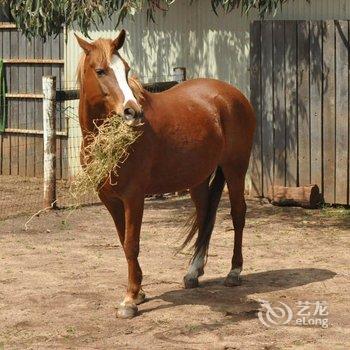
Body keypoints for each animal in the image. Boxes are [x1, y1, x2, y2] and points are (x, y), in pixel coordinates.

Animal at [75, 30, 256, 320]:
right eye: (100, 70)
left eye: (126, 69)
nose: (132, 112)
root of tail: (232, 94)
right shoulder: (109, 199)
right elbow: (123, 241)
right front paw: (138, 292)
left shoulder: (134, 197)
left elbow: (131, 244)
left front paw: (130, 300)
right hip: (198, 178)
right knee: (205, 216)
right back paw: (193, 272)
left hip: (235, 168)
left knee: (238, 214)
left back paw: (234, 272)